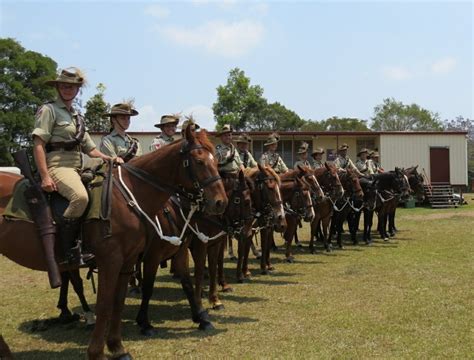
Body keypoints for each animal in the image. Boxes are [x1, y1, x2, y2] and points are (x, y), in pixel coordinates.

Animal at [0, 127, 230, 360]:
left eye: (216, 160)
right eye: (199, 161)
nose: (220, 202)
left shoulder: (136, 260)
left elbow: (121, 301)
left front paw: (117, 347)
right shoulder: (118, 260)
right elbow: (108, 303)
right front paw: (101, 349)